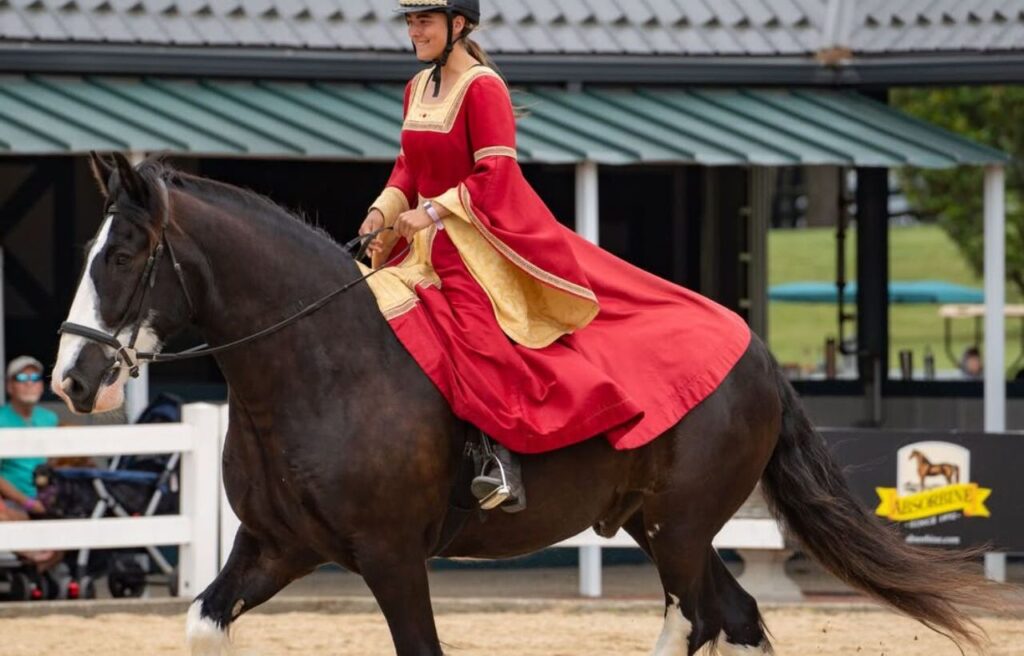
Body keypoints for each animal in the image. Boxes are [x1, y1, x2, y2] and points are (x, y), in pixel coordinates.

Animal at [50, 152, 1012, 655]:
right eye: (92, 250)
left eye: (124, 255)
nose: (71, 382)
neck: (318, 368)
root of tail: (759, 359)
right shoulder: (277, 547)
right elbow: (202, 623)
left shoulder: (392, 559)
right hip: (660, 528)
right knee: (727, 619)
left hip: (681, 529)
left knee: (705, 618)